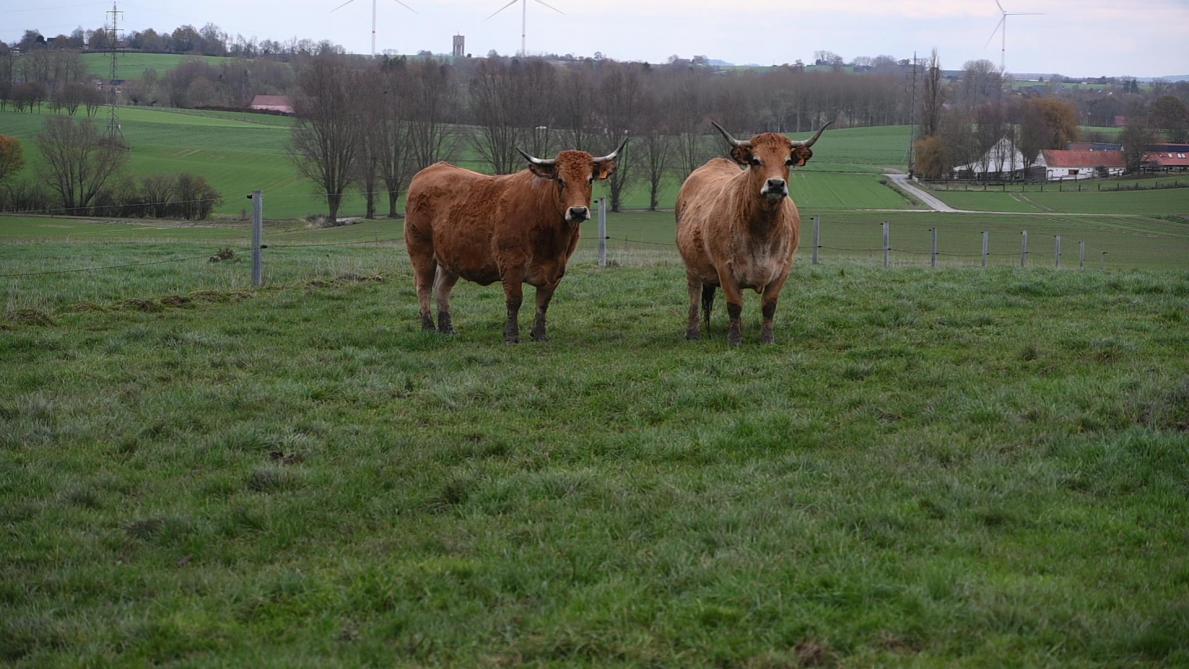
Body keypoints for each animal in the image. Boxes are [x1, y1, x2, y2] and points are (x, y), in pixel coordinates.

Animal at [404, 139, 626, 343]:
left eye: (589, 180)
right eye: (560, 180)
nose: (578, 211)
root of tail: (435, 168)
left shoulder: (556, 269)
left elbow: (543, 303)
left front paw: (540, 335)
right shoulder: (511, 264)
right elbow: (514, 300)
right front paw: (511, 336)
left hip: (450, 259)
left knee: (442, 289)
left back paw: (447, 329)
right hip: (421, 252)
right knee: (423, 287)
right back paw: (428, 327)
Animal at [675, 121, 831, 345]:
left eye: (788, 161)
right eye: (756, 160)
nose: (776, 184)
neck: (763, 231)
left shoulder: (783, 269)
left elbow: (769, 305)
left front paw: (767, 339)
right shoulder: (725, 268)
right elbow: (734, 304)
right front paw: (734, 340)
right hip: (692, 267)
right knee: (694, 297)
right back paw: (693, 333)